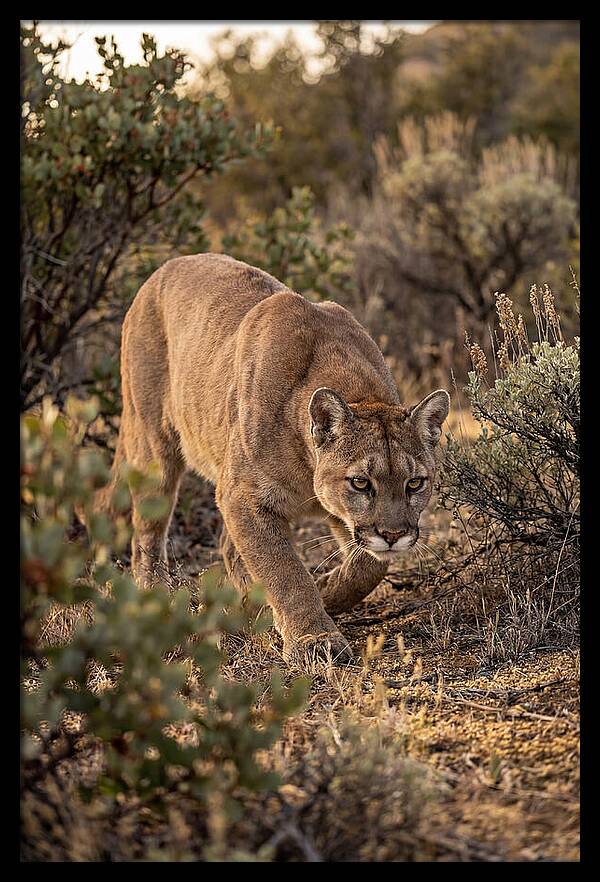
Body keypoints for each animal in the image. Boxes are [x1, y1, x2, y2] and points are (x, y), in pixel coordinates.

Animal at [100, 253, 449, 663]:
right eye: (361, 483)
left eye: (415, 483)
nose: (394, 535)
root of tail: (164, 268)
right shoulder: (244, 496)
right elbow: (284, 570)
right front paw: (314, 638)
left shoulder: (332, 513)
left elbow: (368, 565)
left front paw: (326, 590)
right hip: (154, 446)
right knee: (147, 534)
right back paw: (156, 595)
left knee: (227, 547)